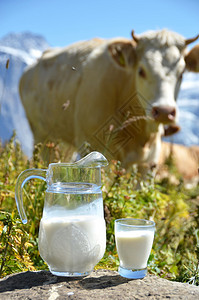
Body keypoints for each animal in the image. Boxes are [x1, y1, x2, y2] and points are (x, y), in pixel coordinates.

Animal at [19, 29, 199, 175]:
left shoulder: (150, 160)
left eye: (182, 73)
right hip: (41, 135)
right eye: (141, 70)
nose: (164, 111)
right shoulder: (95, 146)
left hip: (63, 141)